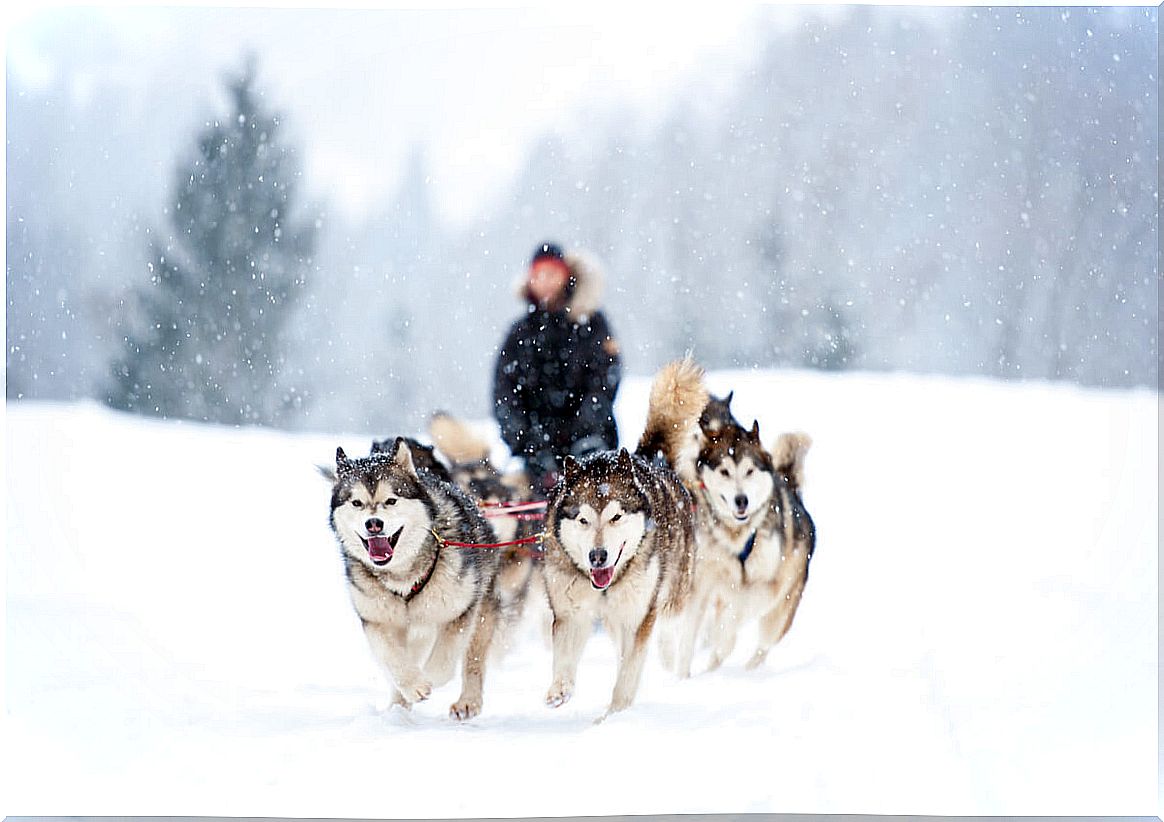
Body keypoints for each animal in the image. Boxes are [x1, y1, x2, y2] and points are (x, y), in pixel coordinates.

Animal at [325, 435, 502, 717]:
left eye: (391, 500)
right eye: (356, 503)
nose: (373, 523)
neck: (402, 576)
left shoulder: (460, 612)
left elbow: (443, 662)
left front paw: (428, 678)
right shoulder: (376, 620)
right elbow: (392, 658)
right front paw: (413, 686)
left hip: (482, 610)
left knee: (473, 659)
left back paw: (468, 701)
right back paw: (398, 706)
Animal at [537, 356, 707, 712]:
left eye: (616, 516)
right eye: (583, 520)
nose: (597, 556)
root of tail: (644, 458)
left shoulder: (638, 615)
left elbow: (629, 671)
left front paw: (616, 712)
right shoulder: (570, 611)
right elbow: (565, 658)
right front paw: (560, 689)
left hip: (673, 594)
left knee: (671, 628)